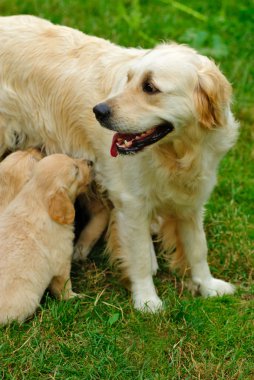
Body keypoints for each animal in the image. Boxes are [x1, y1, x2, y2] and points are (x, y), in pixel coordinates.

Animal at [0, 153, 91, 326]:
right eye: (76, 171)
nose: (90, 161)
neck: (36, 197)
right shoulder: (62, 263)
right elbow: (64, 286)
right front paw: (75, 297)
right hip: (28, 299)